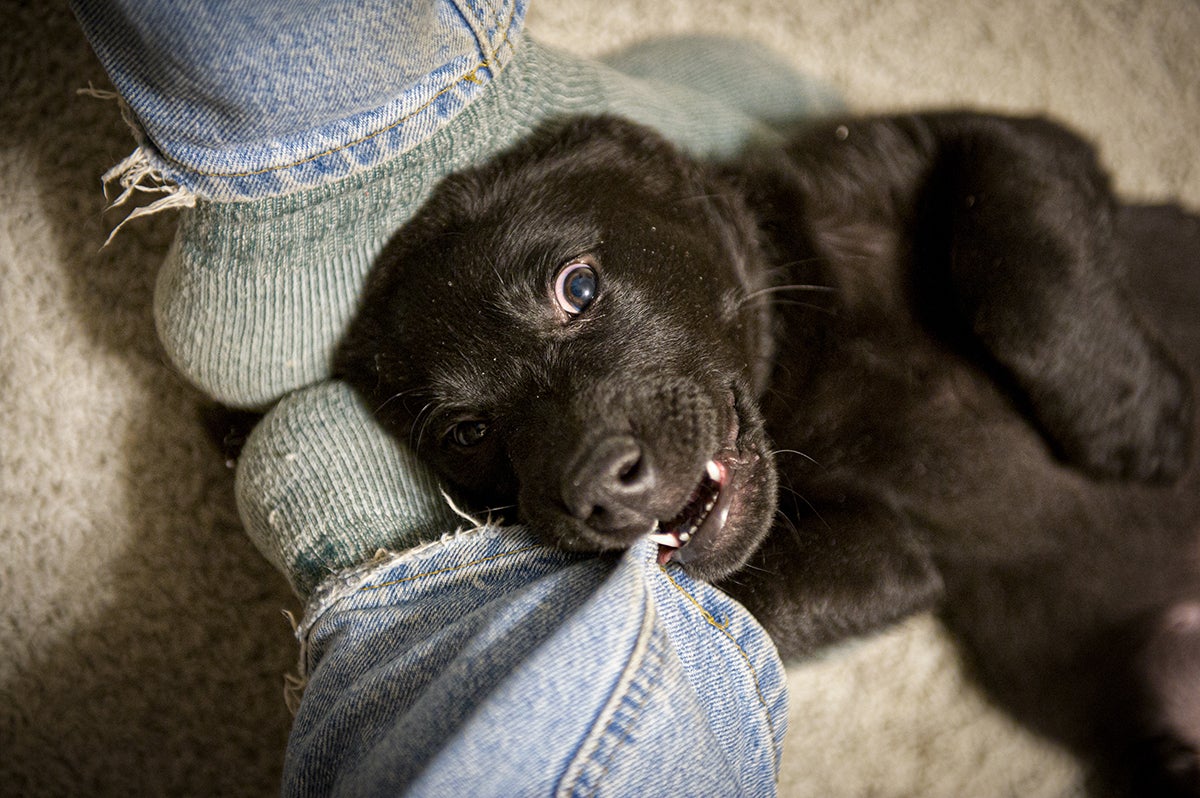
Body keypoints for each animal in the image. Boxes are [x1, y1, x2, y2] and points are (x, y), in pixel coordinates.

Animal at [338, 115, 1200, 792]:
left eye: (576, 287)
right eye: (467, 433)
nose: (593, 492)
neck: (802, 363)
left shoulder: (1016, 140)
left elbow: (1016, 256)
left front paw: (1137, 423)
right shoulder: (886, 551)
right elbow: (749, 594)